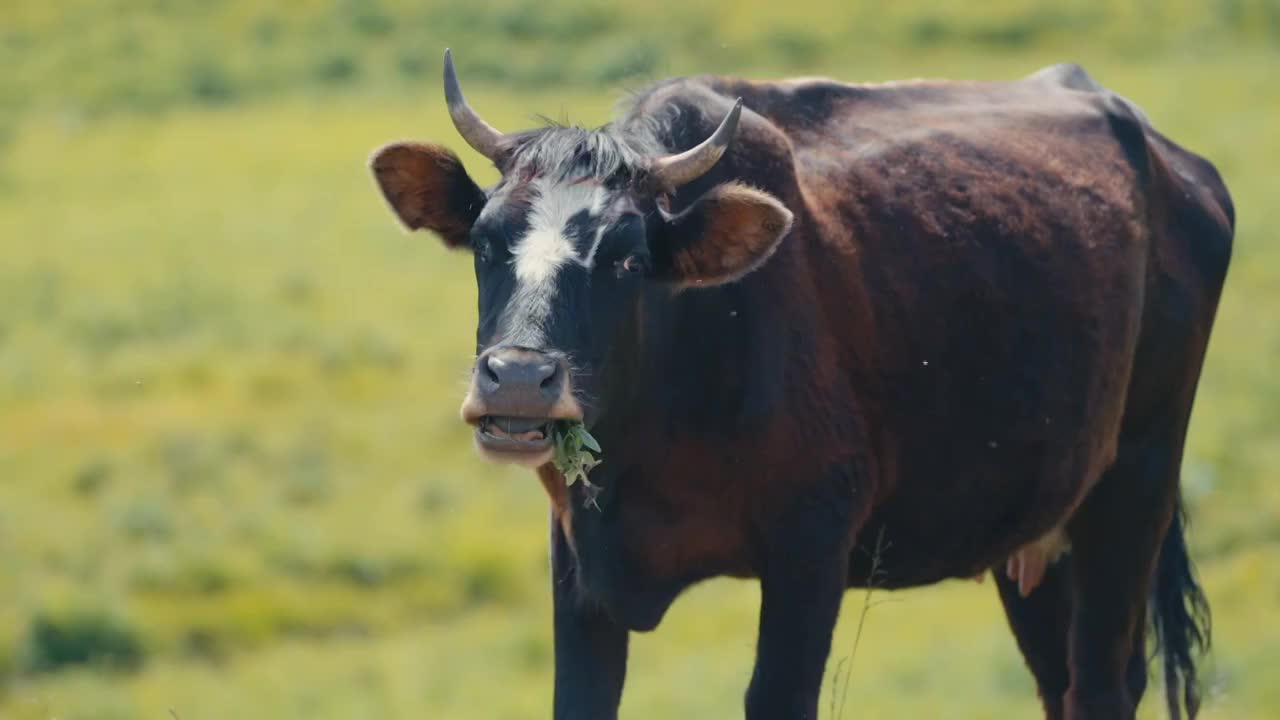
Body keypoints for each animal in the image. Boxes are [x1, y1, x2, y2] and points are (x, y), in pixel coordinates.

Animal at [368, 51, 1228, 717]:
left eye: (626, 257)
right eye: (486, 242)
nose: (518, 379)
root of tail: (1169, 158)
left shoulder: (813, 546)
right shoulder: (579, 560)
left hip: (1136, 484)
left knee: (1105, 685)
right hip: (1034, 522)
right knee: (1063, 683)